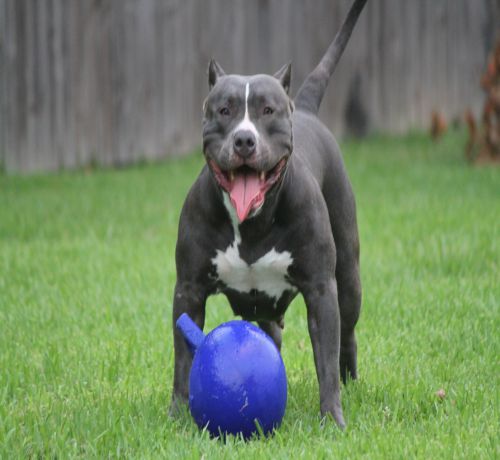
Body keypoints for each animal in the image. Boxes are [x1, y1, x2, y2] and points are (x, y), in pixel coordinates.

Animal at [171, 0, 368, 428]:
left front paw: (332, 418)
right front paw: (177, 414)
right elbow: (183, 357)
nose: (245, 140)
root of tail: (305, 109)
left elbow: (325, 359)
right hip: (264, 312)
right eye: (224, 110)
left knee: (347, 335)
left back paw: (351, 381)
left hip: (348, 279)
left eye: (267, 110)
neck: (252, 224)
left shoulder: (321, 290)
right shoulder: (188, 290)